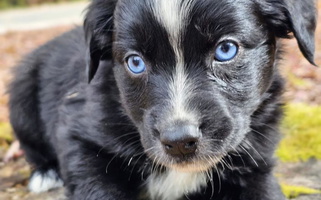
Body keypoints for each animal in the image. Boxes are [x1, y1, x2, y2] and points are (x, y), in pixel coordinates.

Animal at [8, 0, 316, 200]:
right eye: (135, 62)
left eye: (226, 49)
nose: (179, 142)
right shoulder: (78, 131)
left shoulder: (256, 162)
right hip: (21, 100)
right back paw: (45, 174)